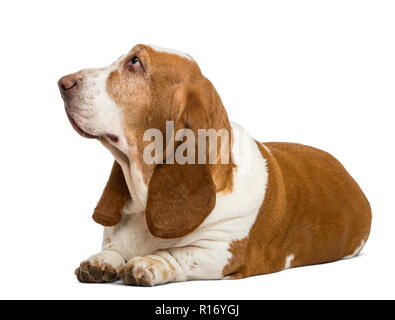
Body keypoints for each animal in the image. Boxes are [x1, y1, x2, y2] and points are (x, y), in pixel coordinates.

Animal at [58, 43, 372, 286]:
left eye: (135, 62)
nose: (62, 82)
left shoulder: (220, 252)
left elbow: (179, 255)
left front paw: (149, 263)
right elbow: (113, 248)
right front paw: (101, 261)